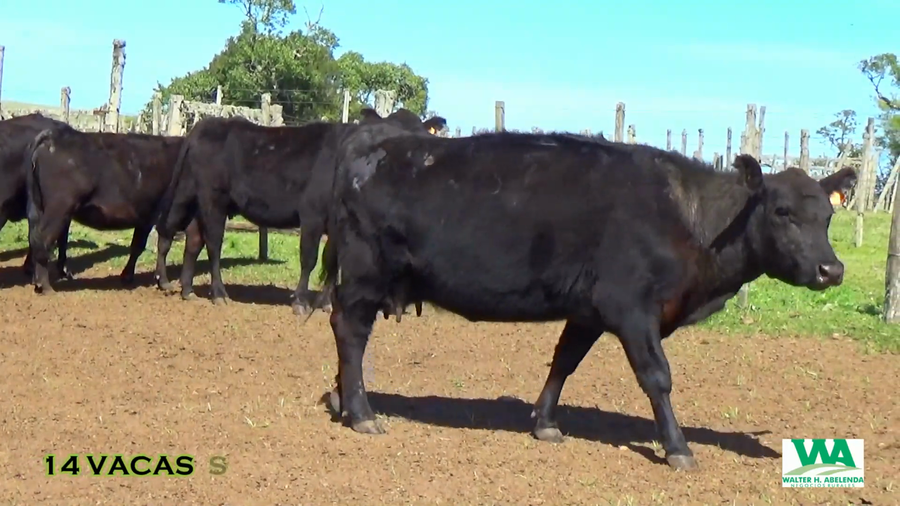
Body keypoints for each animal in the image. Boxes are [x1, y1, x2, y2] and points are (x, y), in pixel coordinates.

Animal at [25, 125, 203, 294]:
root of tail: (54, 136)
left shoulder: (145, 217)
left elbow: (138, 246)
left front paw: (128, 276)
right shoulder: (164, 216)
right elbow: (163, 246)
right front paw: (163, 282)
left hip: (40, 208)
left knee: (35, 239)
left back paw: (36, 280)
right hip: (58, 210)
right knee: (42, 241)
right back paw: (45, 286)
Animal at [154, 108, 446, 316]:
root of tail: (206, 124)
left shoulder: (338, 224)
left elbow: (333, 261)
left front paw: (325, 303)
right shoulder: (312, 215)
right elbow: (309, 258)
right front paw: (300, 302)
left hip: (197, 199)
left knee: (192, 238)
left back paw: (187, 289)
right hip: (212, 199)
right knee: (210, 242)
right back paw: (217, 293)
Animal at [316, 126, 857, 471]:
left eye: (828, 217)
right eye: (782, 211)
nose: (832, 270)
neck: (688, 218)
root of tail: (371, 140)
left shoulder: (589, 311)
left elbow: (564, 361)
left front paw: (545, 422)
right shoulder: (631, 309)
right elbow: (658, 378)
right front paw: (678, 448)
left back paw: (344, 400)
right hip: (365, 276)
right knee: (351, 332)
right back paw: (361, 412)